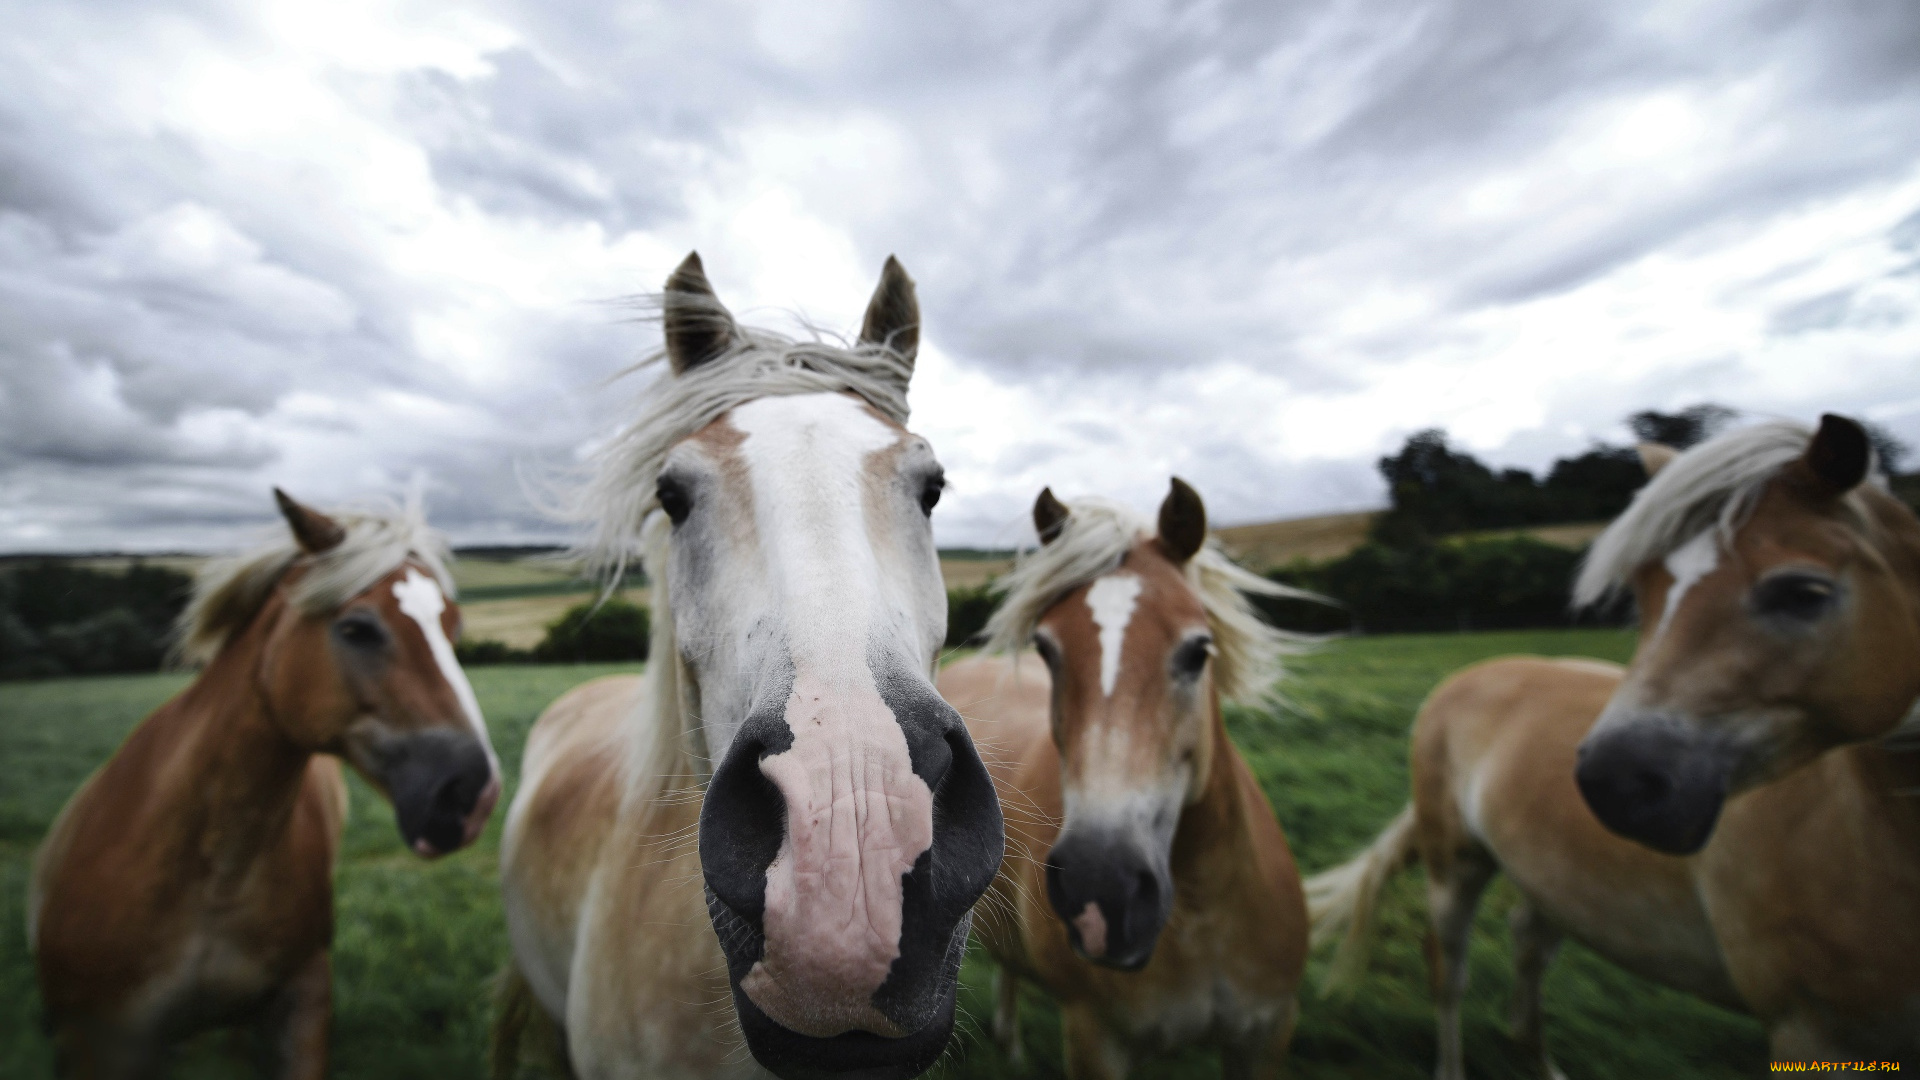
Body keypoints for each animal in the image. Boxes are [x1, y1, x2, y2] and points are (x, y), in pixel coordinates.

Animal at [27, 490, 499, 1076]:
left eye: (453, 628)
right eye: (357, 629)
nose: (473, 795)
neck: (211, 871)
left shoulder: (305, 1004)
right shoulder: (96, 1042)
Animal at [944, 478, 1320, 1076]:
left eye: (1198, 650)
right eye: (1046, 649)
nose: (1102, 888)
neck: (1201, 912)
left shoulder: (1267, 1033)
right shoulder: (1096, 1038)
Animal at [1313, 413, 1920, 1068]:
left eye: (1805, 593)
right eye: (1643, 588)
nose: (1614, 782)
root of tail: (1468, 677)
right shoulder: (1804, 1027)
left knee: (1528, 948)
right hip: (1455, 866)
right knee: (1447, 972)